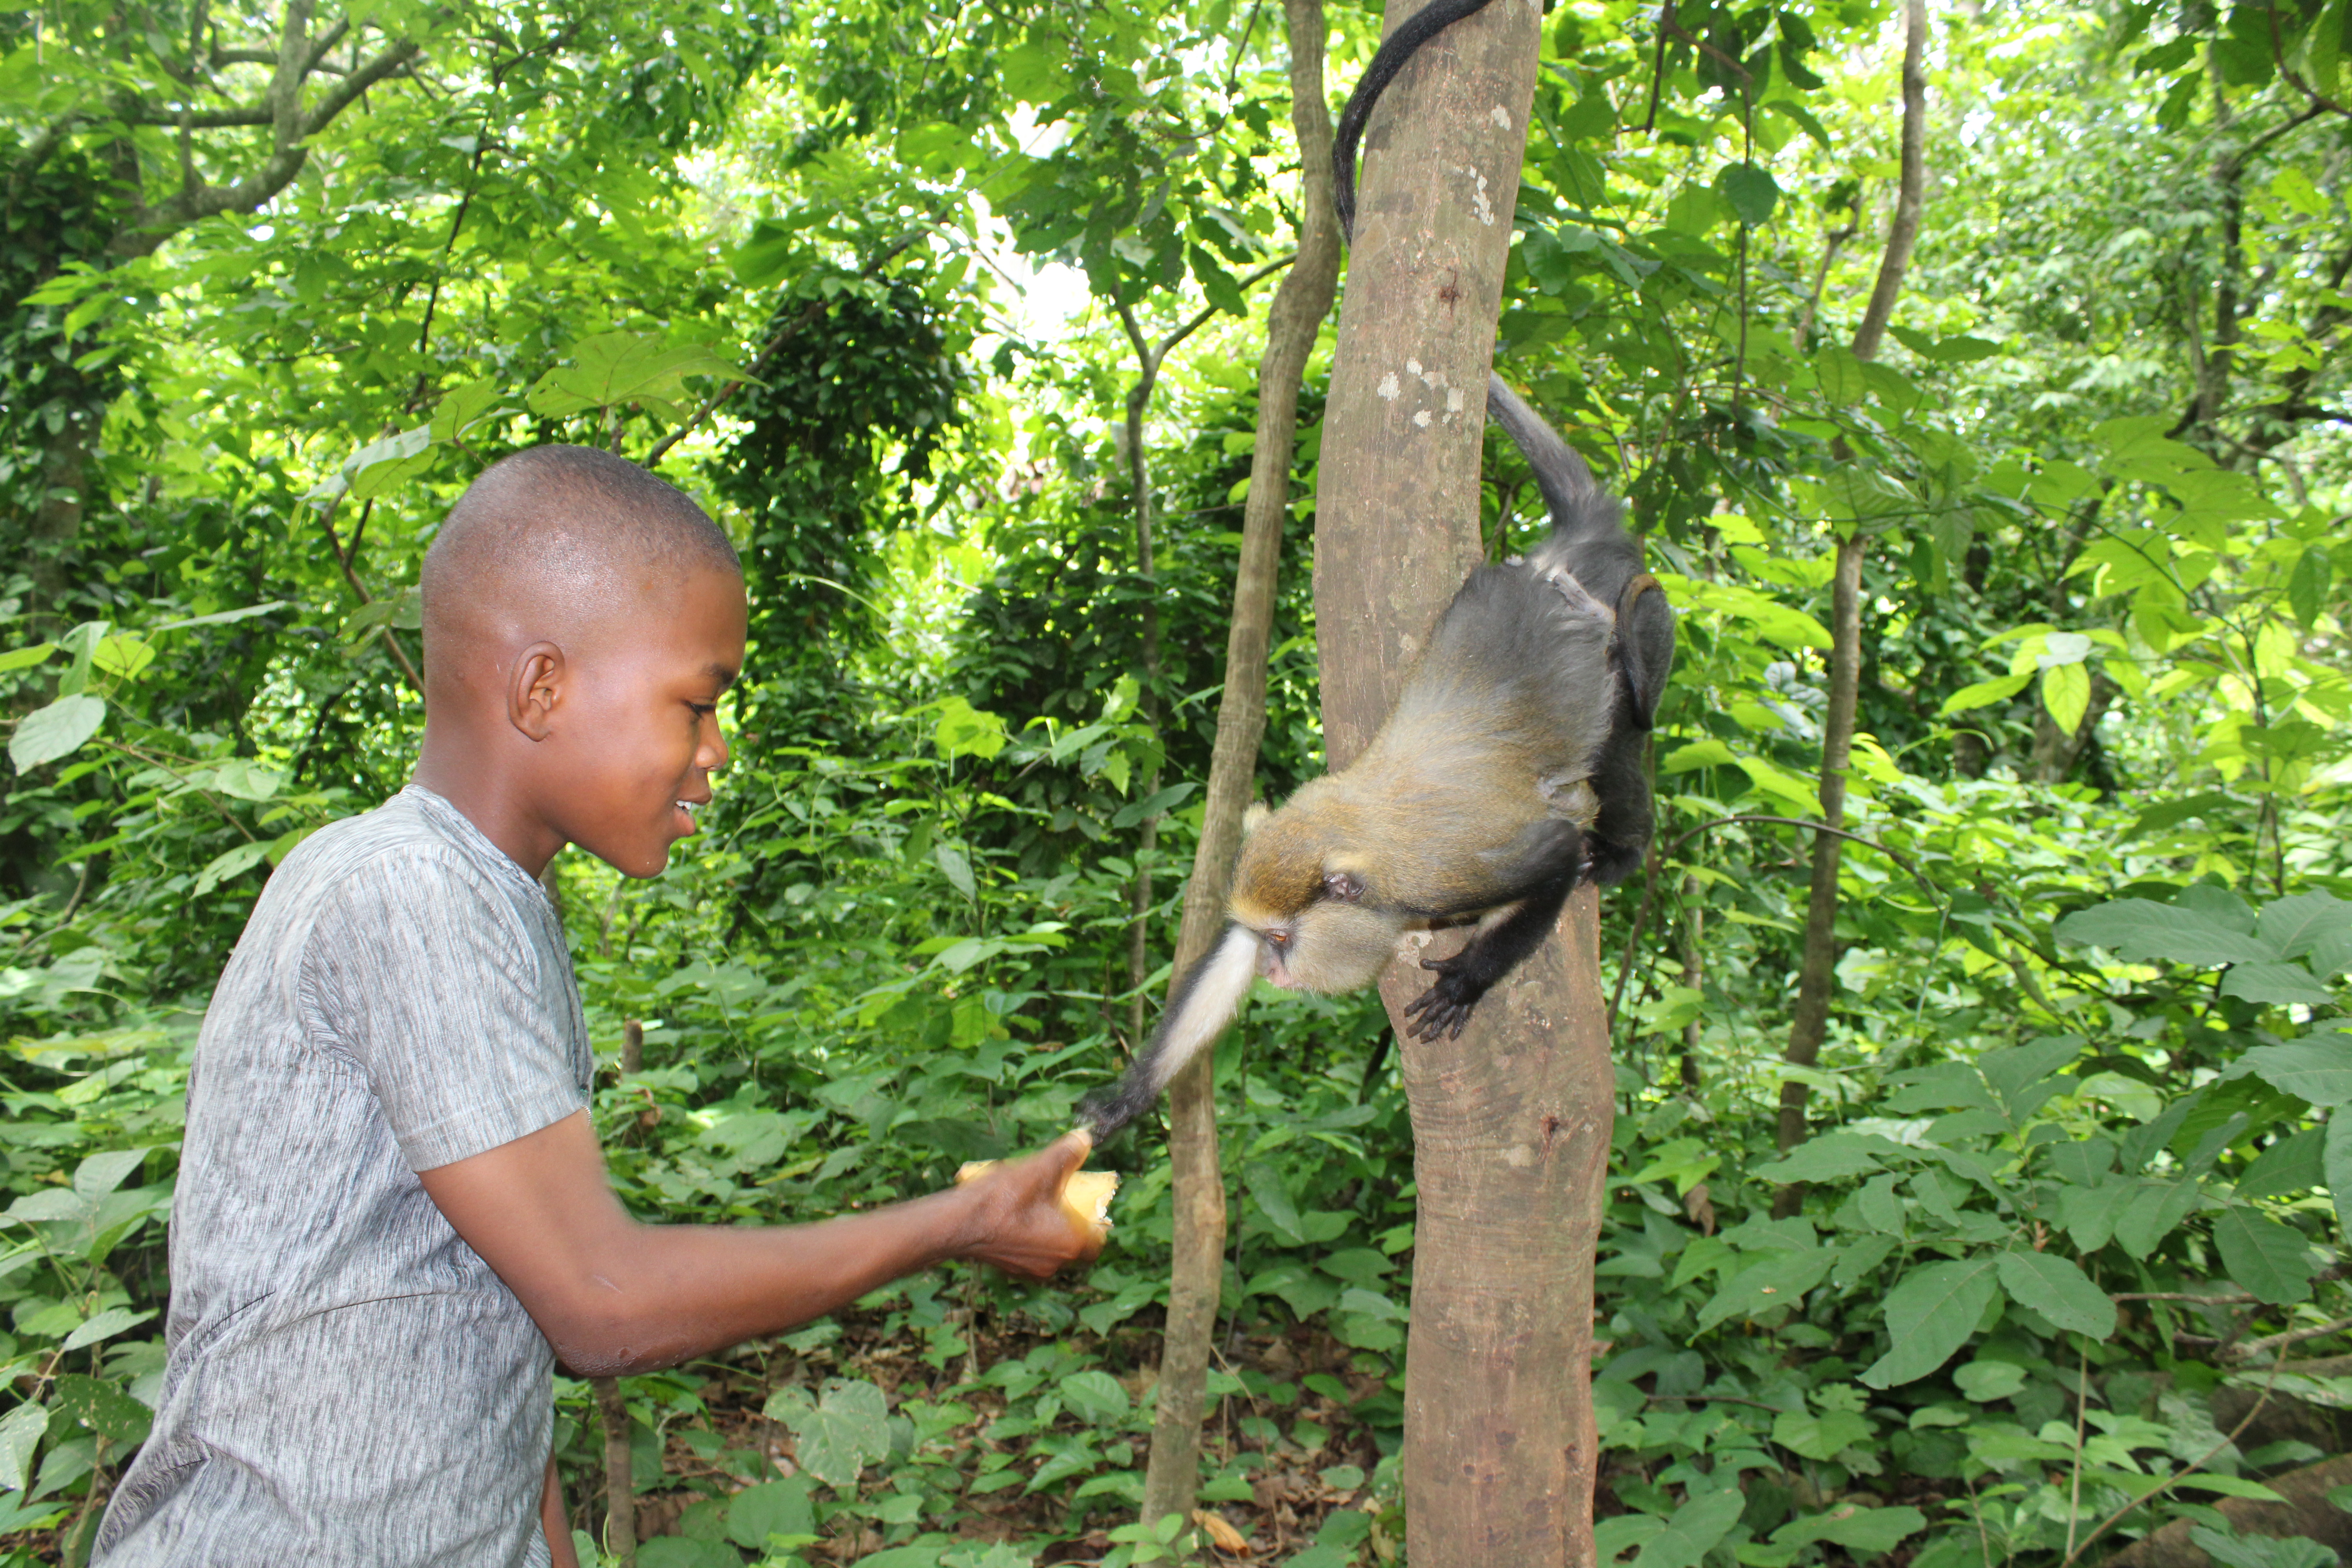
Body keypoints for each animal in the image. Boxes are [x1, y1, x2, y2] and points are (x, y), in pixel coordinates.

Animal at [1073, 0, 1675, 1142]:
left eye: (1285, 944)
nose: (1271, 970)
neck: (1361, 848)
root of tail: (1556, 558)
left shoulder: (1459, 866)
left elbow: (1548, 860)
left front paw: (1470, 979)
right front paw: (1127, 1096)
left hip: (1617, 638)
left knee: (1632, 708)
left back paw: (1620, 841)